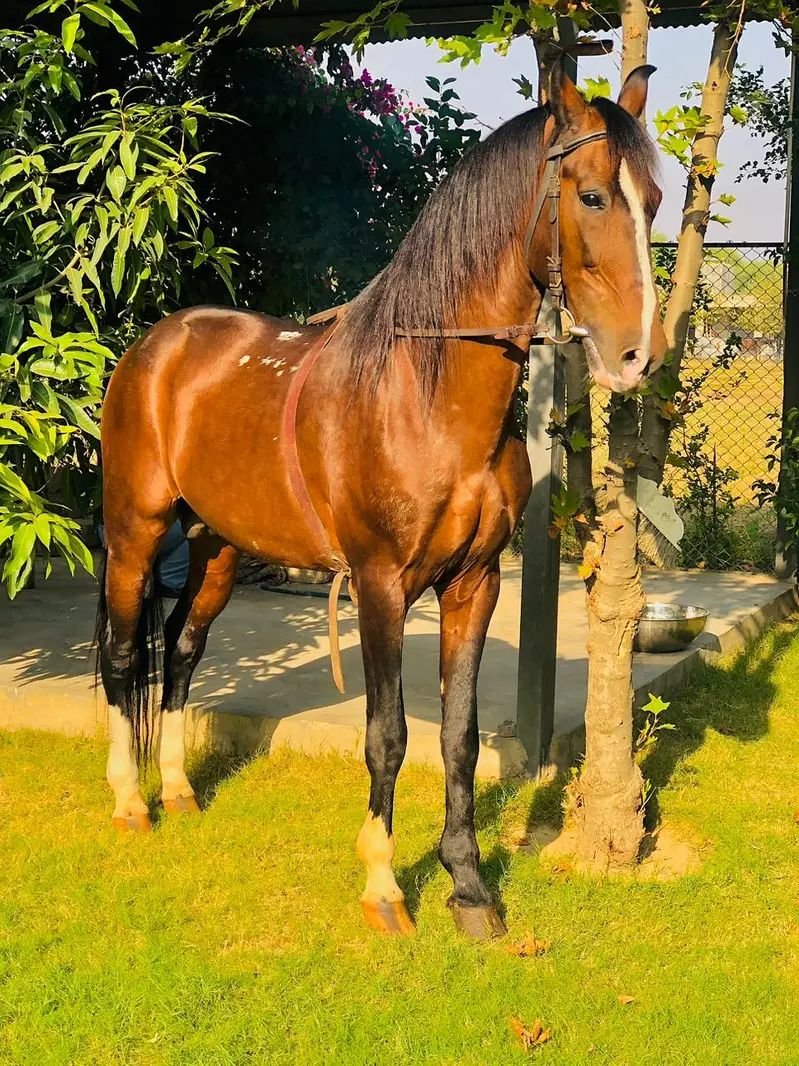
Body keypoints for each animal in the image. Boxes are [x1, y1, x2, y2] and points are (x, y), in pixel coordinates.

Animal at [95, 64, 666, 940]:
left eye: (658, 200)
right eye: (595, 196)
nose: (638, 353)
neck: (424, 397)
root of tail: (155, 346)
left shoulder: (473, 585)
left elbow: (460, 738)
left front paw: (469, 890)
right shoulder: (379, 587)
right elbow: (388, 736)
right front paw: (384, 888)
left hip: (217, 547)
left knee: (183, 650)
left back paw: (182, 792)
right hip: (134, 531)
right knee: (126, 657)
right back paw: (131, 801)